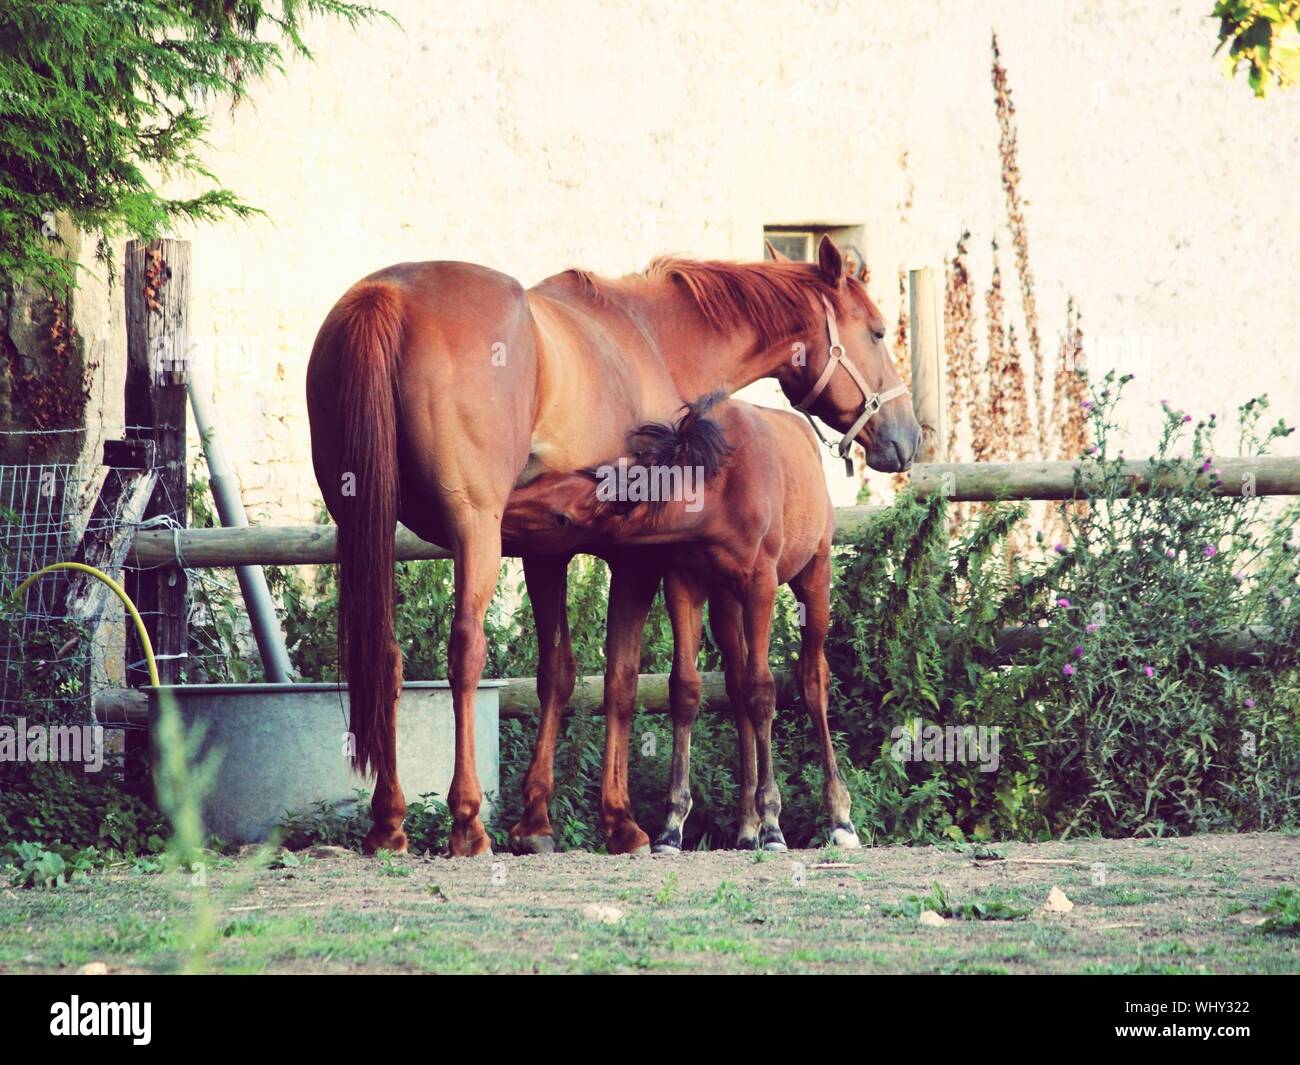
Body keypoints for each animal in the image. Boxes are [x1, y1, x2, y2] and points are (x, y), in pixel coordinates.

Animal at [502, 393, 859, 853]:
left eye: (560, 516)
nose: (502, 507)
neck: (720, 494)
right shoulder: (684, 583)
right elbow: (686, 690)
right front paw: (673, 824)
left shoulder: (760, 584)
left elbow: (764, 691)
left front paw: (774, 821)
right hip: (726, 604)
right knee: (736, 684)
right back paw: (747, 827)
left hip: (813, 577)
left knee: (812, 679)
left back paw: (838, 817)